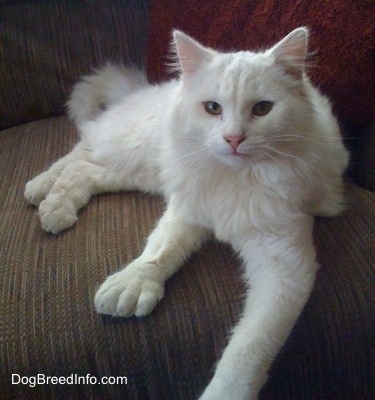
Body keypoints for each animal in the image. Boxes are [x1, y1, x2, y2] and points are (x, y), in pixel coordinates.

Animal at [25, 28, 350, 400]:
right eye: (212, 108)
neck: (234, 177)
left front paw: (223, 393)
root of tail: (143, 91)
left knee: (84, 170)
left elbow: (248, 348)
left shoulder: (284, 266)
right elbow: (158, 250)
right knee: (80, 151)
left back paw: (54, 205)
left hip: (143, 173)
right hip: (135, 149)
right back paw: (42, 193)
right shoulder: (187, 208)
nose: (234, 139)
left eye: (263, 109)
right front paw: (132, 285)